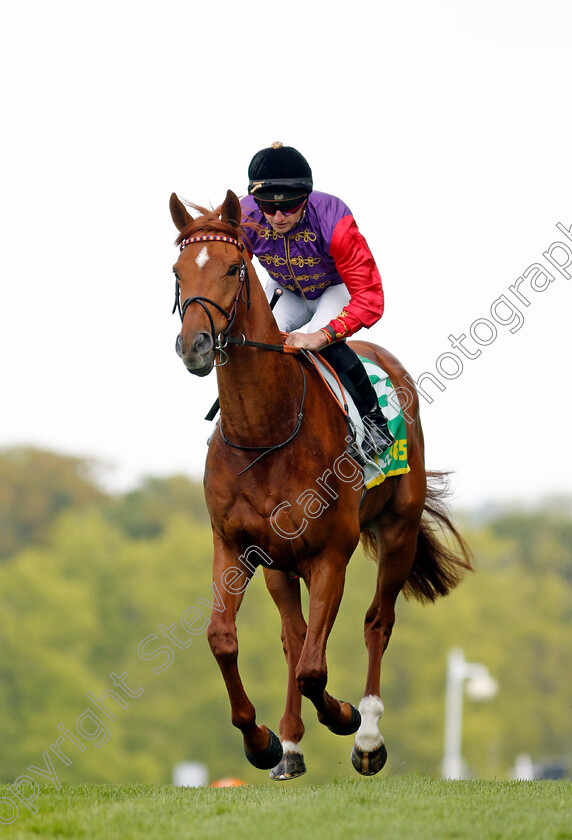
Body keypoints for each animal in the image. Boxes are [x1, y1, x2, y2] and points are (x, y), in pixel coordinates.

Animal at [168, 190, 472, 780]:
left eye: (234, 268)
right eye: (177, 272)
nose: (195, 345)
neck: (265, 434)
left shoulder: (333, 552)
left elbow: (316, 667)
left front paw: (347, 718)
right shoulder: (236, 546)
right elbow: (226, 640)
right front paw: (261, 741)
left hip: (397, 531)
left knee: (377, 622)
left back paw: (368, 737)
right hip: (280, 564)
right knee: (295, 637)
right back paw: (289, 745)